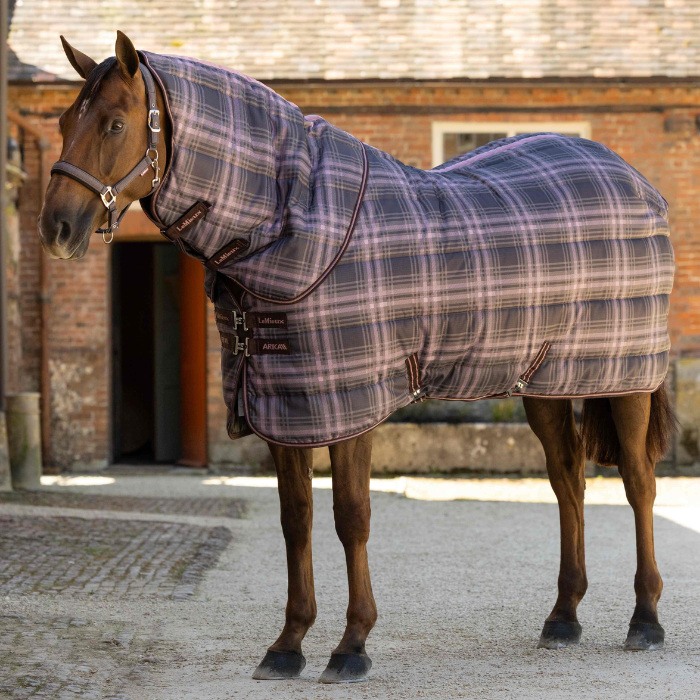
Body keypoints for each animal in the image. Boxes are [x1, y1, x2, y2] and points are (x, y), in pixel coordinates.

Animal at [38, 31, 676, 683]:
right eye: (63, 121)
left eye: (116, 123)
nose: (56, 228)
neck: (297, 223)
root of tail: (635, 181)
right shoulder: (283, 404)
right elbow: (296, 519)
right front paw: (287, 644)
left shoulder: (350, 405)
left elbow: (350, 517)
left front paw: (352, 645)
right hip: (543, 378)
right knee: (568, 480)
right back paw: (563, 617)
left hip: (626, 380)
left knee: (638, 483)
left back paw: (645, 619)